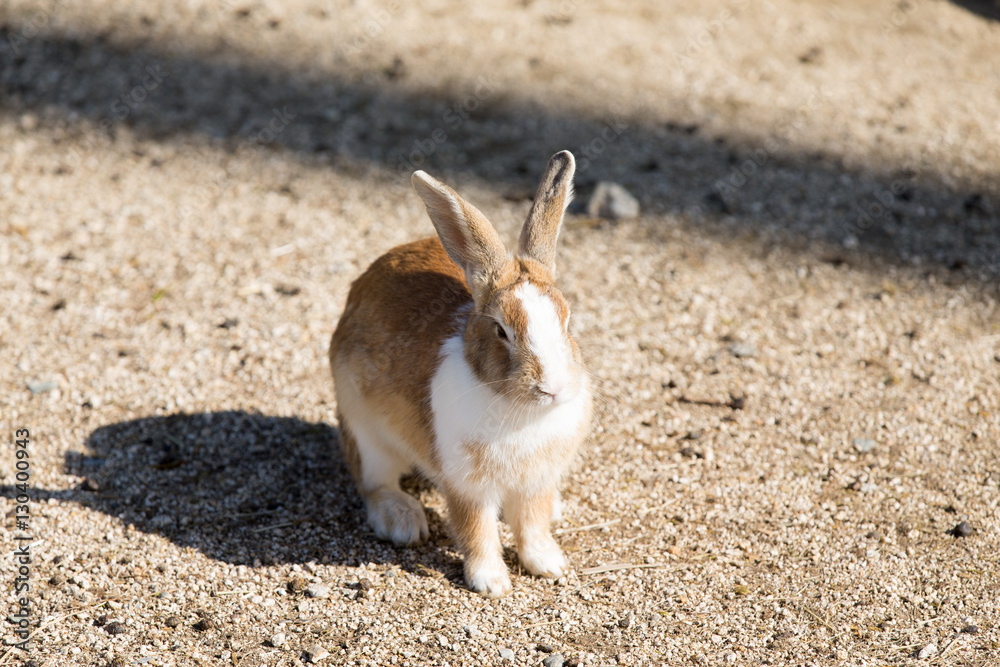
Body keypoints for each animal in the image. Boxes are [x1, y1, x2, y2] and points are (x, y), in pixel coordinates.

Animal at [330, 150, 592, 597]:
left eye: (568, 320)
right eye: (501, 330)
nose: (553, 388)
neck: (520, 411)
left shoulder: (536, 483)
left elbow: (533, 524)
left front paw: (549, 564)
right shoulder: (468, 486)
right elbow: (476, 531)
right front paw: (492, 583)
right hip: (364, 431)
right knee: (374, 482)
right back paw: (402, 520)